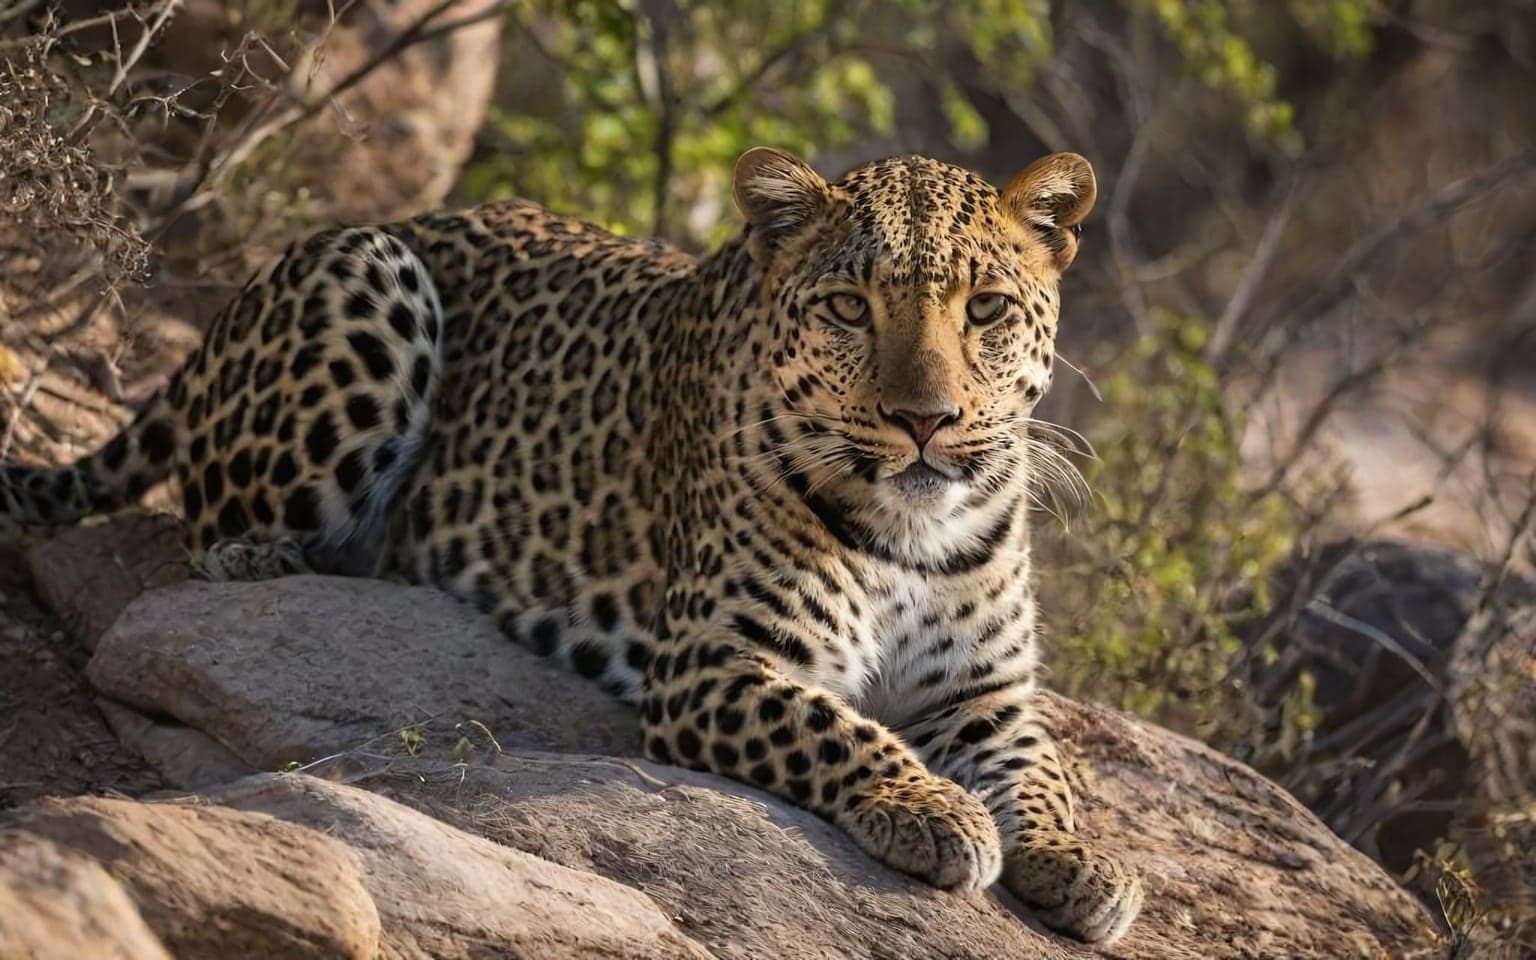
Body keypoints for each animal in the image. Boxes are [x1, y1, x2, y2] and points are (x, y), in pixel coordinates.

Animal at [1, 147, 1143, 943]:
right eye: (848, 309)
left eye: (986, 308)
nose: (925, 421)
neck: (915, 528)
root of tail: (410, 215)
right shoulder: (715, 662)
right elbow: (842, 730)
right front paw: (932, 808)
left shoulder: (988, 696)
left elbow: (1044, 775)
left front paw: (1085, 862)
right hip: (367, 275)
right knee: (206, 523)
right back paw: (285, 557)